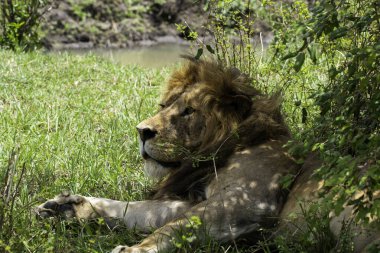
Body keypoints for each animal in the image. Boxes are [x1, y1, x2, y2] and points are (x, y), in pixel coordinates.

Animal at [35, 58, 378, 252]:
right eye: (165, 105)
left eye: (188, 111)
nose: (142, 131)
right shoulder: (199, 198)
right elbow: (142, 211)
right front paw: (68, 207)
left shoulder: (250, 200)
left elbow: (171, 227)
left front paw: (133, 251)